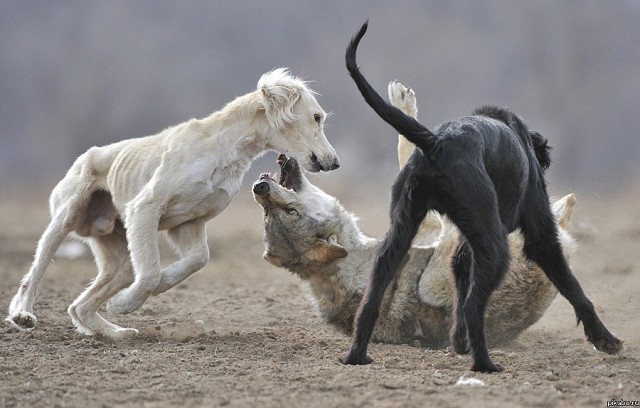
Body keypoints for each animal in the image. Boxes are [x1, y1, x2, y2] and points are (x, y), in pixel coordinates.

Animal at [6, 69, 340, 338]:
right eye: (317, 117)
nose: (335, 163)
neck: (224, 149)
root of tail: (86, 155)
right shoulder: (145, 209)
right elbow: (150, 273)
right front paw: (127, 303)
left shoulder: (189, 223)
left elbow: (195, 261)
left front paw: (134, 298)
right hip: (64, 222)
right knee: (33, 276)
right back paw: (23, 314)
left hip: (119, 258)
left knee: (80, 307)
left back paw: (115, 333)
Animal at [342, 22, 624, 372]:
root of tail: (438, 142)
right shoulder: (539, 235)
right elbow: (573, 286)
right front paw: (605, 339)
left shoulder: (465, 247)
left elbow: (460, 281)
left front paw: (458, 342)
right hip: (495, 248)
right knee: (474, 306)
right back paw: (485, 363)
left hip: (401, 233)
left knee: (374, 296)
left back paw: (357, 355)